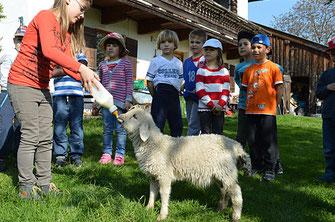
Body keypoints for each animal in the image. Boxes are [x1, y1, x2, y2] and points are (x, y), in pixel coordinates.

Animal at [118, 105, 252, 221]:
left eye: (135, 116)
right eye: (130, 109)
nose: (120, 118)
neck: (154, 144)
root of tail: (236, 146)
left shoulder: (164, 175)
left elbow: (163, 194)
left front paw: (162, 215)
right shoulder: (153, 175)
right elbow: (152, 192)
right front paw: (148, 209)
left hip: (227, 172)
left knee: (236, 193)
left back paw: (236, 216)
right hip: (220, 173)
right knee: (225, 190)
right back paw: (220, 209)